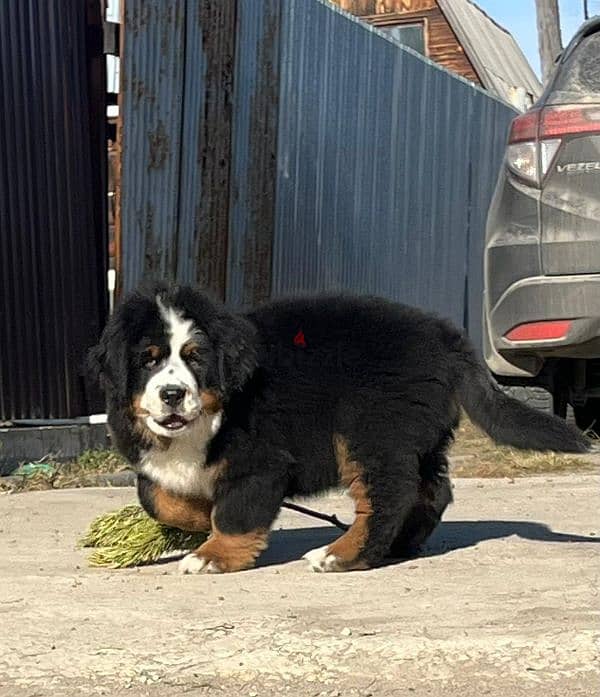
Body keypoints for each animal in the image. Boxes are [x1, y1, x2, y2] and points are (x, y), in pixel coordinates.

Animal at [88, 282, 584, 572]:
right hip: (416, 435)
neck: (204, 420)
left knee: (388, 496)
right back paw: (399, 545)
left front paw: (213, 555)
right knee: (432, 491)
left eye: (195, 358)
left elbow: (233, 513)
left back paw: (342, 554)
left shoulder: (259, 461)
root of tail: (446, 336)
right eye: (148, 360)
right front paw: (193, 521)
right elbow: (157, 498)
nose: (172, 394)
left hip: (370, 429)